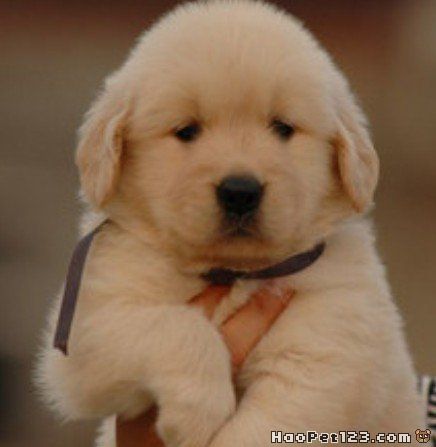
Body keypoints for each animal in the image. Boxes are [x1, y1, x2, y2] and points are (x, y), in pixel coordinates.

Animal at [36, 1, 425, 446]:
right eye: (187, 130)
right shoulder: (85, 333)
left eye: (282, 128)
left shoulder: (328, 355)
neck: (232, 271)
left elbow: (265, 424)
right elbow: (176, 324)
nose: (241, 191)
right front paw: (199, 410)